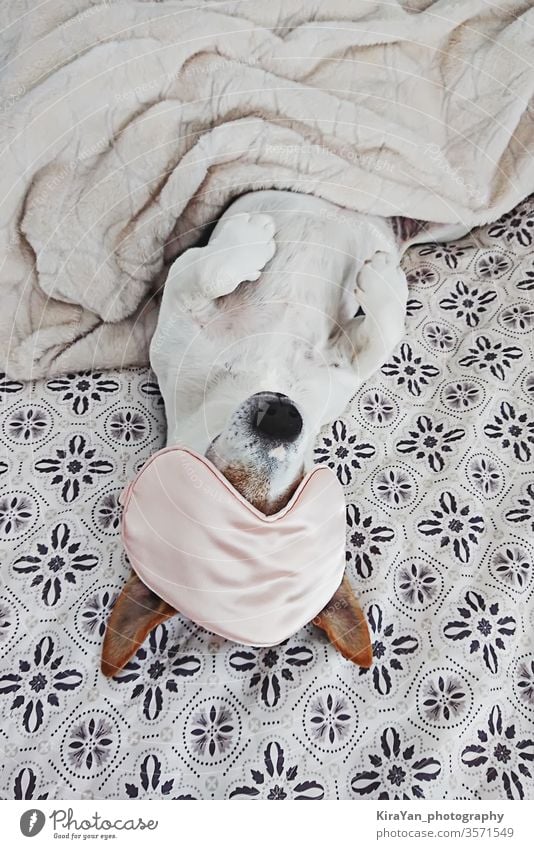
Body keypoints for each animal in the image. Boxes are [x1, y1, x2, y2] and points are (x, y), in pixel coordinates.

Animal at [101, 187, 464, 676]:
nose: (283, 419)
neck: (258, 375)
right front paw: (250, 239)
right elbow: (207, 273)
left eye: (294, 494)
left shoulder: (339, 368)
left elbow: (378, 335)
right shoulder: (181, 308)